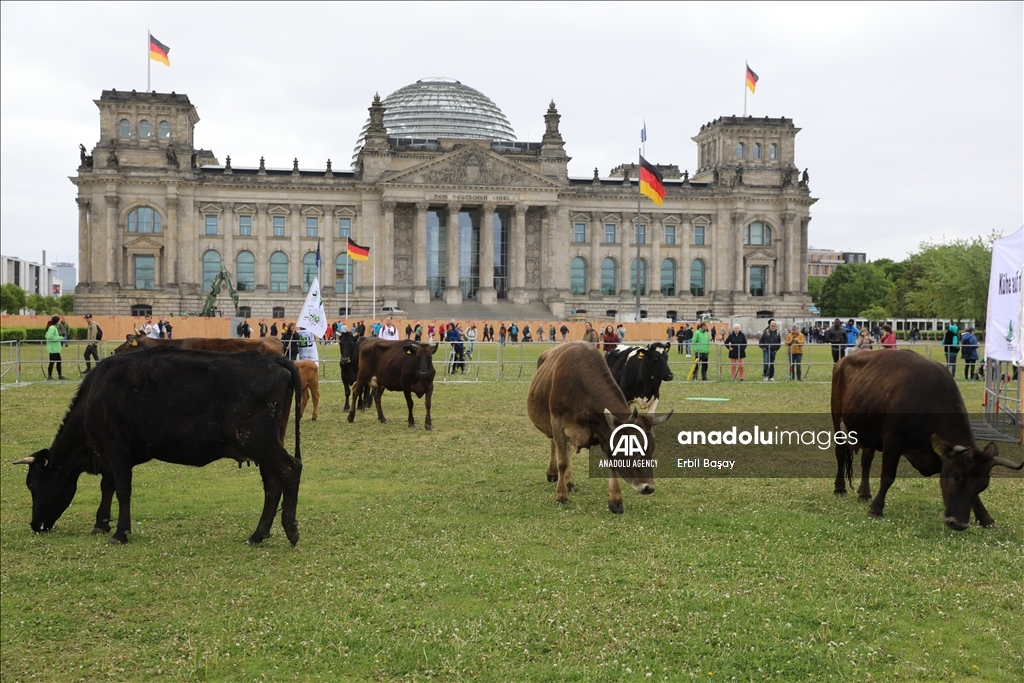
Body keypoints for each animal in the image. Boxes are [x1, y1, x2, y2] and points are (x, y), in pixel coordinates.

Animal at [14, 350, 301, 548]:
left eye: (32, 485)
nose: (35, 525)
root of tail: (275, 360)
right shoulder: (107, 454)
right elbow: (107, 486)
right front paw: (101, 524)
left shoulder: (116, 446)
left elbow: (122, 489)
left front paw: (120, 533)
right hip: (265, 442)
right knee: (273, 485)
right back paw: (258, 534)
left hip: (257, 440)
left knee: (291, 470)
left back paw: (291, 530)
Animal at [528, 342, 671, 511]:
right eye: (634, 451)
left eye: (651, 452)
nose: (648, 487)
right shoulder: (558, 423)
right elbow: (562, 461)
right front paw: (561, 496)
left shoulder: (604, 430)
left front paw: (615, 501)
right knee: (553, 445)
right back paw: (552, 474)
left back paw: (569, 481)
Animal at [831, 350, 1024, 532]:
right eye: (956, 477)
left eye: (983, 485)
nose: (958, 523)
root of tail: (843, 360)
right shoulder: (892, 439)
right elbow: (887, 476)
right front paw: (876, 509)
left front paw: (986, 519)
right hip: (838, 422)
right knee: (840, 455)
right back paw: (840, 489)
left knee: (867, 460)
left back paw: (864, 493)